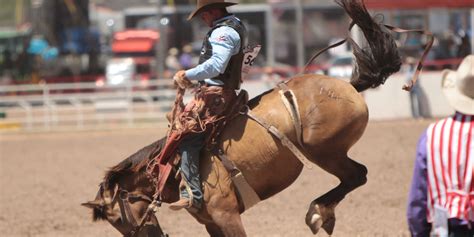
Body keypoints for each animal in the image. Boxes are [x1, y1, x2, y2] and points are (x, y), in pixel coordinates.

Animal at [82, 0, 422, 236]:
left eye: (116, 219)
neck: (171, 168)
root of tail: (348, 85)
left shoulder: (226, 214)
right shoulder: (212, 222)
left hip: (324, 151)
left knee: (357, 175)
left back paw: (317, 213)